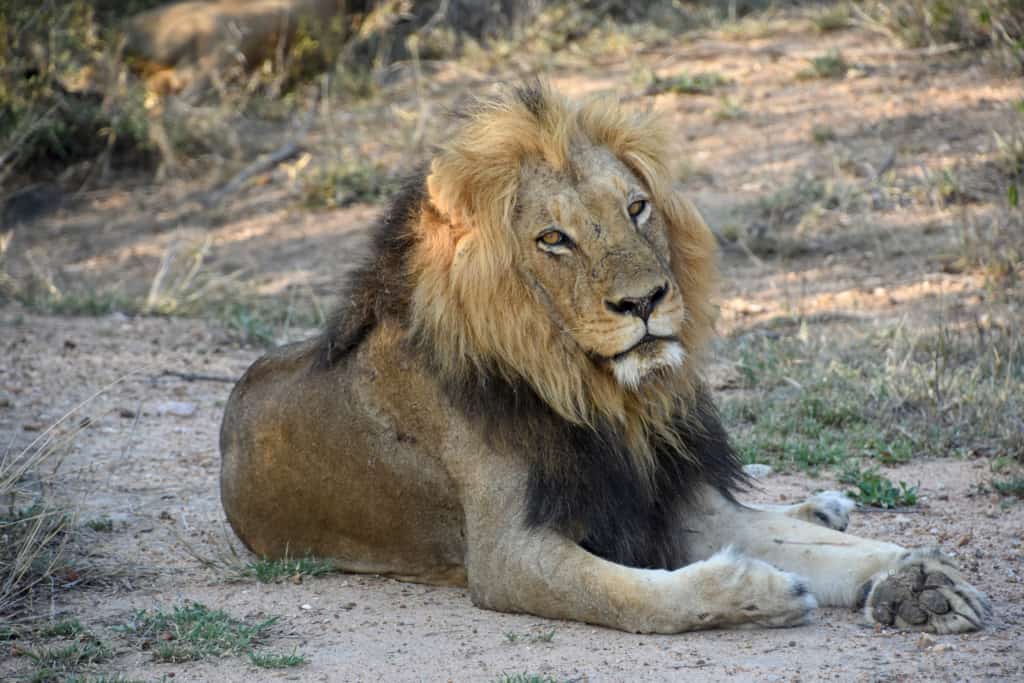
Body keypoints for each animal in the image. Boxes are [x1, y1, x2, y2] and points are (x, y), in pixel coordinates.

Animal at [218, 83, 991, 634]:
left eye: (637, 208)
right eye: (553, 239)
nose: (645, 300)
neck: (607, 398)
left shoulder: (673, 504)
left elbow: (820, 547)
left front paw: (918, 582)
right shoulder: (507, 557)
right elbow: (636, 599)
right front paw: (753, 590)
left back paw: (825, 506)